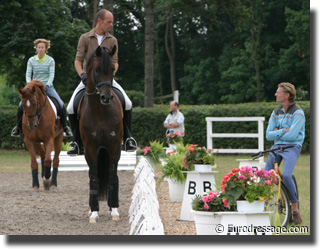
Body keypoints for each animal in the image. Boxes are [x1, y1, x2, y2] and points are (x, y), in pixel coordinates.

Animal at [79, 46, 124, 223]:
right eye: (97, 69)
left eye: (112, 69)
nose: (106, 97)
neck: (100, 110)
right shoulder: (90, 147)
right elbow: (94, 177)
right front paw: (94, 212)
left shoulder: (114, 146)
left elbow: (112, 176)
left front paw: (115, 211)